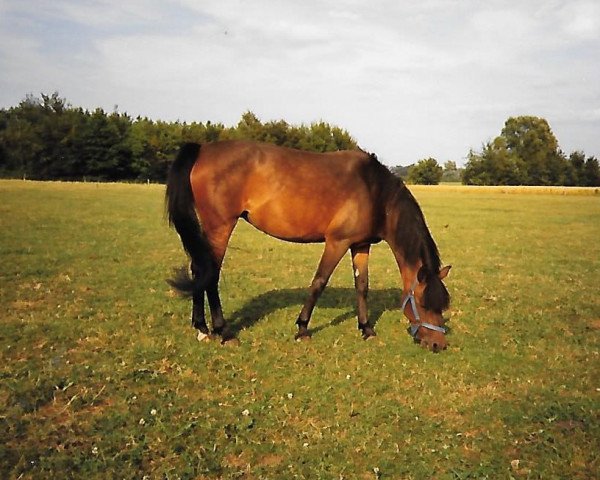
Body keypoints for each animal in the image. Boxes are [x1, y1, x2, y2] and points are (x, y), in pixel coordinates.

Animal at [164, 139, 450, 352]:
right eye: (424, 304)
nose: (439, 344)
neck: (374, 190)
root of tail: (203, 149)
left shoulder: (360, 245)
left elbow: (362, 286)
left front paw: (367, 329)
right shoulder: (337, 242)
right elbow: (318, 283)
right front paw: (302, 329)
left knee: (199, 270)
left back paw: (202, 329)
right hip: (220, 227)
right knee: (210, 275)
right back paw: (224, 332)